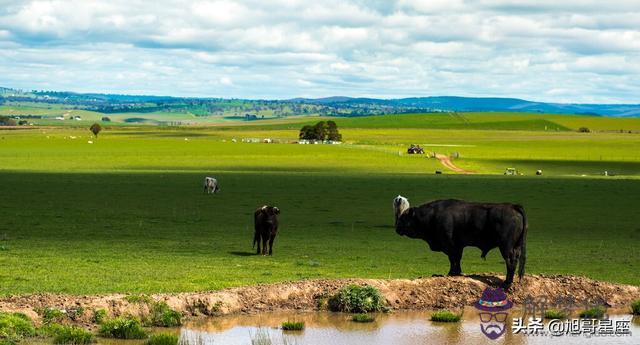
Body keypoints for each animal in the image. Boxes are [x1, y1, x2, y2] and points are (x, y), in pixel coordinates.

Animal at [396, 199, 528, 288]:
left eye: (403, 218)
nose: (397, 229)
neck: (432, 215)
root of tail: (513, 207)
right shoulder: (459, 246)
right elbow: (457, 259)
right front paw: (457, 273)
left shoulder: (450, 245)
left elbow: (452, 259)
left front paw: (451, 273)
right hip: (516, 247)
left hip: (506, 247)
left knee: (510, 261)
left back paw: (507, 283)